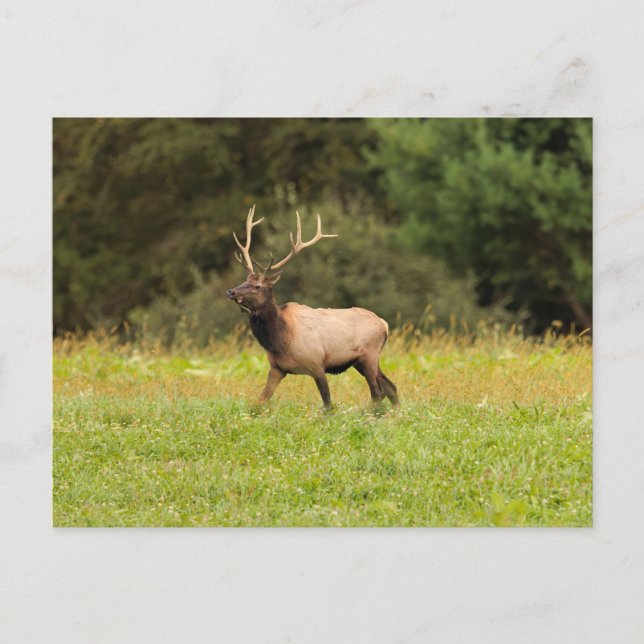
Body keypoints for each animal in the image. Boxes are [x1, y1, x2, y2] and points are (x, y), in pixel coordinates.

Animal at [226, 206, 398, 410]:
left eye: (257, 286)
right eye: (244, 280)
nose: (231, 292)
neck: (279, 340)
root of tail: (384, 324)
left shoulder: (316, 364)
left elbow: (328, 404)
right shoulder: (277, 368)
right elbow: (259, 402)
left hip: (369, 355)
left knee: (378, 392)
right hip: (362, 361)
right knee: (391, 387)